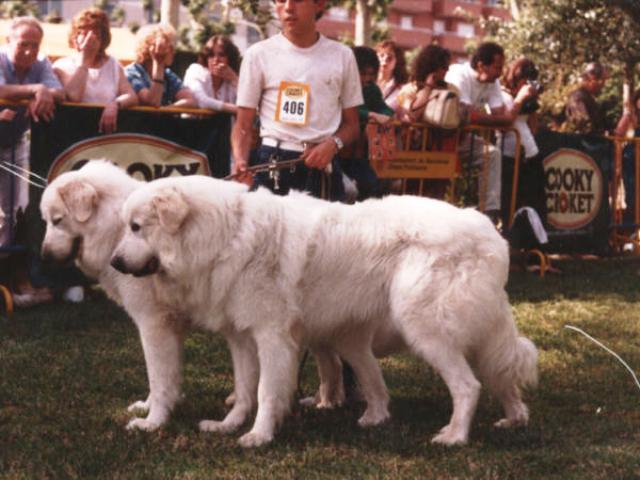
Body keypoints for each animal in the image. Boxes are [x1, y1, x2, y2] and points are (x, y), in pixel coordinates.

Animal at [112, 176, 536, 450]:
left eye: (136, 227)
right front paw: (227, 426)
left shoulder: (272, 337)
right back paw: (513, 418)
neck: (224, 234)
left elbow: (265, 392)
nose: (115, 263)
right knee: (498, 374)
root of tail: (491, 233)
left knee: (469, 386)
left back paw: (454, 437)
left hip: (427, 329)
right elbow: (245, 390)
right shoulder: (242, 338)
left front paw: (258, 437)